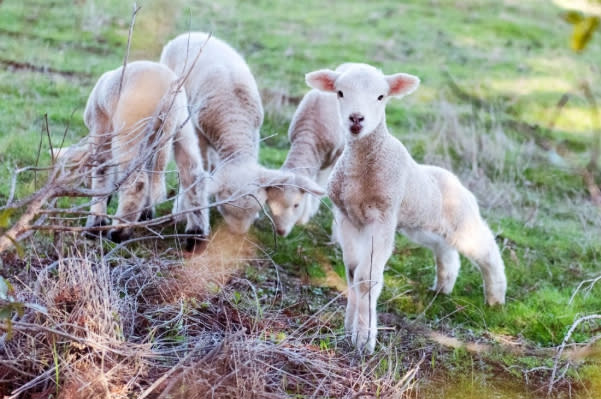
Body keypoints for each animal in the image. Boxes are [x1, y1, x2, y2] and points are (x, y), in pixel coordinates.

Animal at [82, 60, 209, 250]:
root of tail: (168, 94)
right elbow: (149, 171)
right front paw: (145, 214)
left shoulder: (101, 130)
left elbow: (101, 175)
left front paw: (95, 226)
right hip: (182, 127)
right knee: (193, 175)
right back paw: (196, 235)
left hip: (131, 128)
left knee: (136, 183)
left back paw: (119, 233)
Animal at [159, 33, 324, 238]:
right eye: (224, 209)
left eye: (257, 209)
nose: (238, 234)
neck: (234, 123)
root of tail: (190, 34)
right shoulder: (199, 134)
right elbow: (195, 170)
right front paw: (186, 211)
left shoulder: (255, 132)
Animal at [266, 88, 344, 238]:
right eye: (269, 204)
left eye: (296, 205)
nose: (280, 231)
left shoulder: (332, 158)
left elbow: (320, 185)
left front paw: (310, 211)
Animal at [304, 62, 506, 354]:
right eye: (340, 93)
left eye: (381, 96)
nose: (356, 120)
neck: (362, 167)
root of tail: (457, 181)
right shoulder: (347, 216)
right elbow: (353, 273)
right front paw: (349, 326)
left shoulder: (383, 216)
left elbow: (367, 278)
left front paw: (364, 339)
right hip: (424, 225)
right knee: (446, 251)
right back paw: (443, 287)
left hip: (462, 221)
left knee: (488, 250)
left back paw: (496, 298)